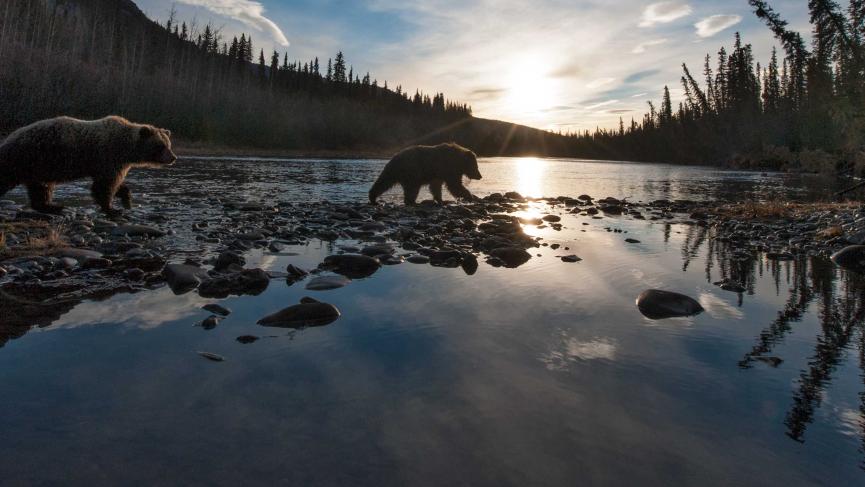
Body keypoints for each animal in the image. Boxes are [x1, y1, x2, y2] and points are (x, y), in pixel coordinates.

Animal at [0, 116, 176, 215]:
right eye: (161, 146)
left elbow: (115, 183)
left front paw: (126, 200)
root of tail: (9, 138)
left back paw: (53, 206)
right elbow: (104, 185)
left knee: (41, 188)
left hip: (39, 167)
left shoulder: (113, 163)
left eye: (168, 144)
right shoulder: (108, 156)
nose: (173, 157)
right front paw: (112, 209)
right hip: (28, 158)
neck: (126, 149)